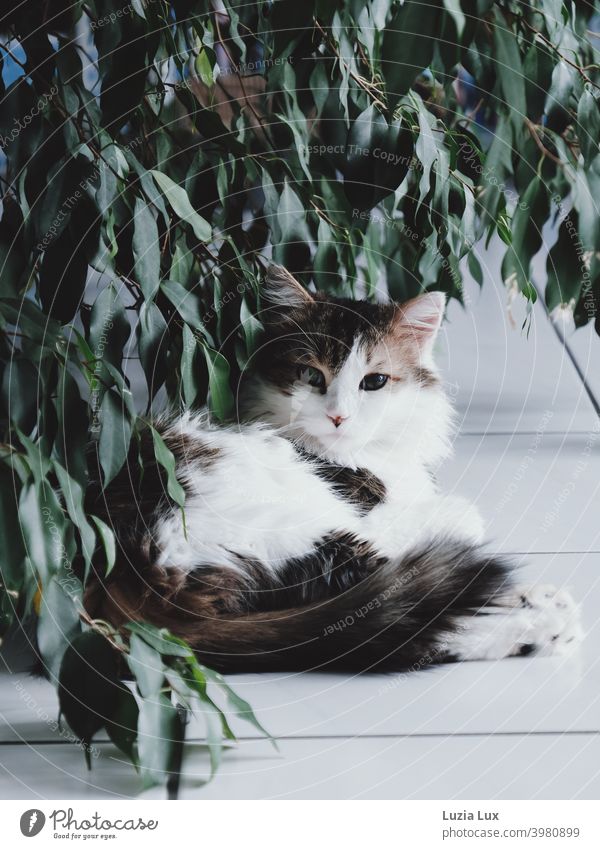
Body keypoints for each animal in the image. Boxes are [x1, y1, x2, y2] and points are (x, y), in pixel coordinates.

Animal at [84, 264, 580, 668]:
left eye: (374, 381)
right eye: (311, 375)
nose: (338, 416)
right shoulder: (373, 510)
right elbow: (453, 526)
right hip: (306, 532)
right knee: (407, 622)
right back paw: (548, 626)